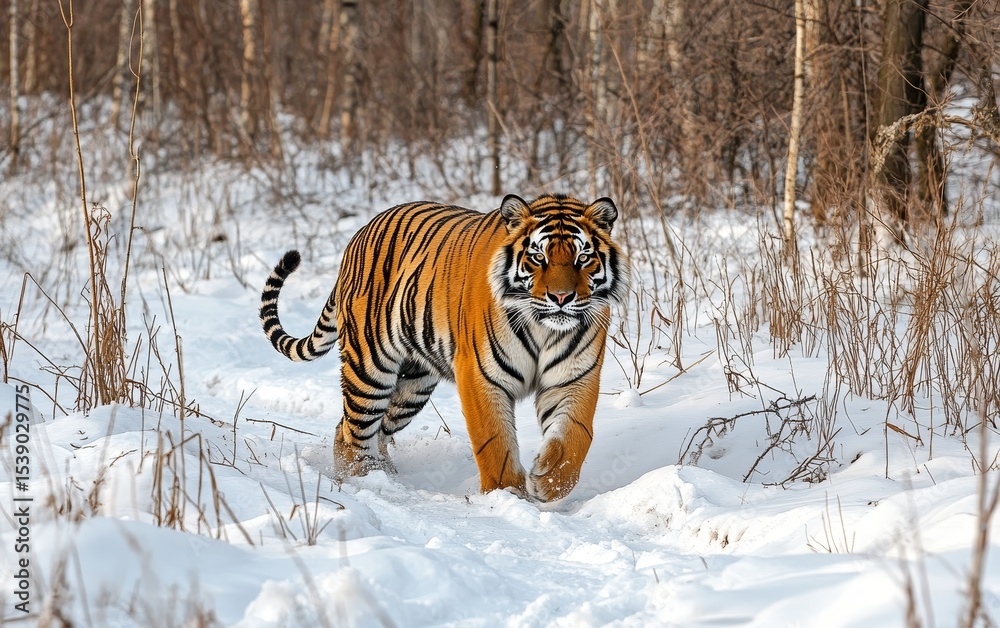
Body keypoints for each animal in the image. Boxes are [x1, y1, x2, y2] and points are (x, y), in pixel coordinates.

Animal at [259, 193, 629, 502]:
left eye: (583, 258)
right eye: (538, 258)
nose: (561, 297)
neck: (543, 327)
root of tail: (358, 236)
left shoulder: (574, 377)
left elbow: (575, 436)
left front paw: (549, 481)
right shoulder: (481, 376)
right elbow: (494, 441)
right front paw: (506, 494)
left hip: (412, 387)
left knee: (358, 429)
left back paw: (383, 474)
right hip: (370, 368)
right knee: (354, 433)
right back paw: (362, 481)